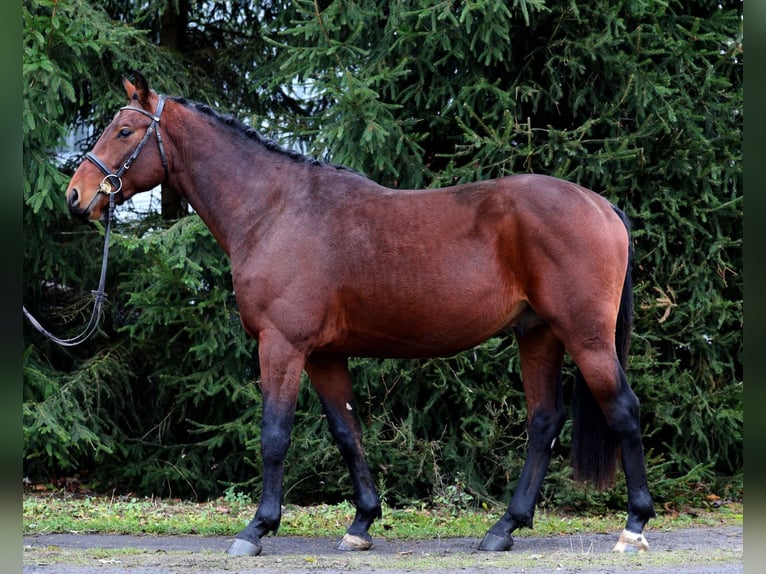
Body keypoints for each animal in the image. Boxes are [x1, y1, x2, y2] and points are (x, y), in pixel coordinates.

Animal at [64, 73, 656, 560]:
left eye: (123, 131)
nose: (77, 195)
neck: (275, 210)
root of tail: (602, 206)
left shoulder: (281, 345)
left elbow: (274, 434)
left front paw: (257, 528)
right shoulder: (324, 355)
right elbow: (347, 432)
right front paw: (362, 524)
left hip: (585, 336)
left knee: (623, 410)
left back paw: (633, 526)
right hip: (538, 335)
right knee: (543, 422)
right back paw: (503, 528)